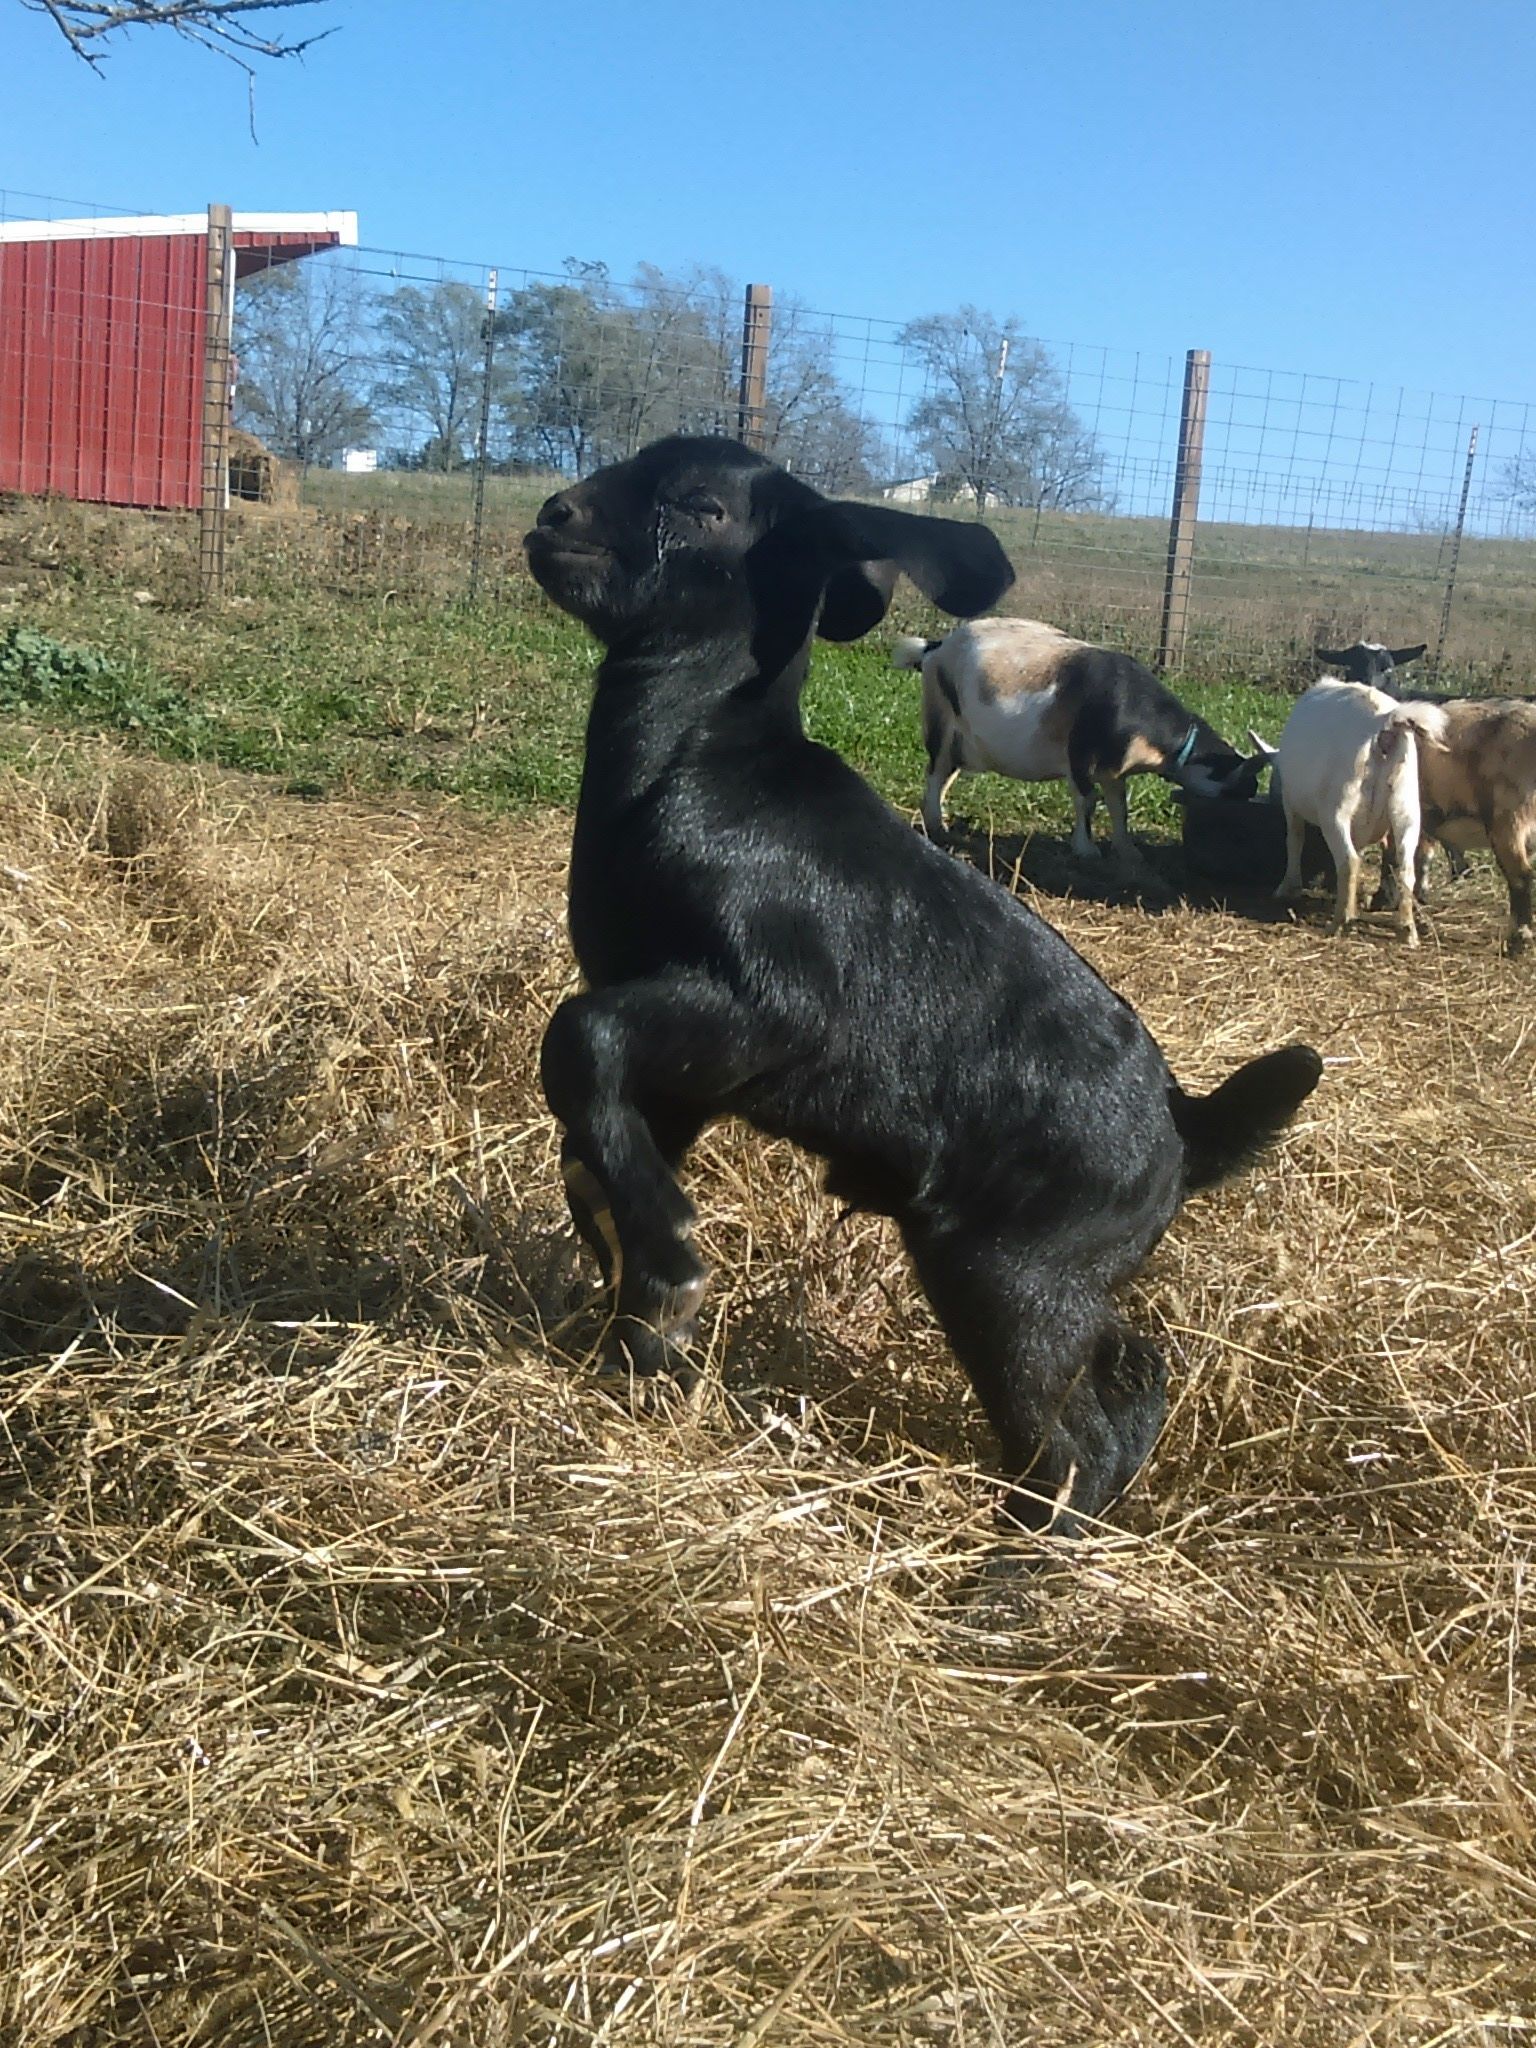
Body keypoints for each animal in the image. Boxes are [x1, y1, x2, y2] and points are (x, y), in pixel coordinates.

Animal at [895, 619, 1266, 864]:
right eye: (1235, 782)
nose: (1251, 791)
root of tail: (935, 648)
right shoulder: (1081, 756)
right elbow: (1087, 801)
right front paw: (1086, 850)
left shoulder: (1114, 771)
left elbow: (1119, 807)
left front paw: (1128, 850)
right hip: (940, 719)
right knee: (935, 772)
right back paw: (937, 825)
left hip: (963, 741)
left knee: (946, 775)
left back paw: (938, 822)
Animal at [1268, 681, 1424, 943]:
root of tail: (1384, 721)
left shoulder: (1290, 801)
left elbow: (1294, 839)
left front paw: (1288, 886)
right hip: (1406, 804)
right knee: (1405, 867)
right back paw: (1407, 930)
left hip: (1339, 804)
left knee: (1349, 860)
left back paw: (1340, 923)